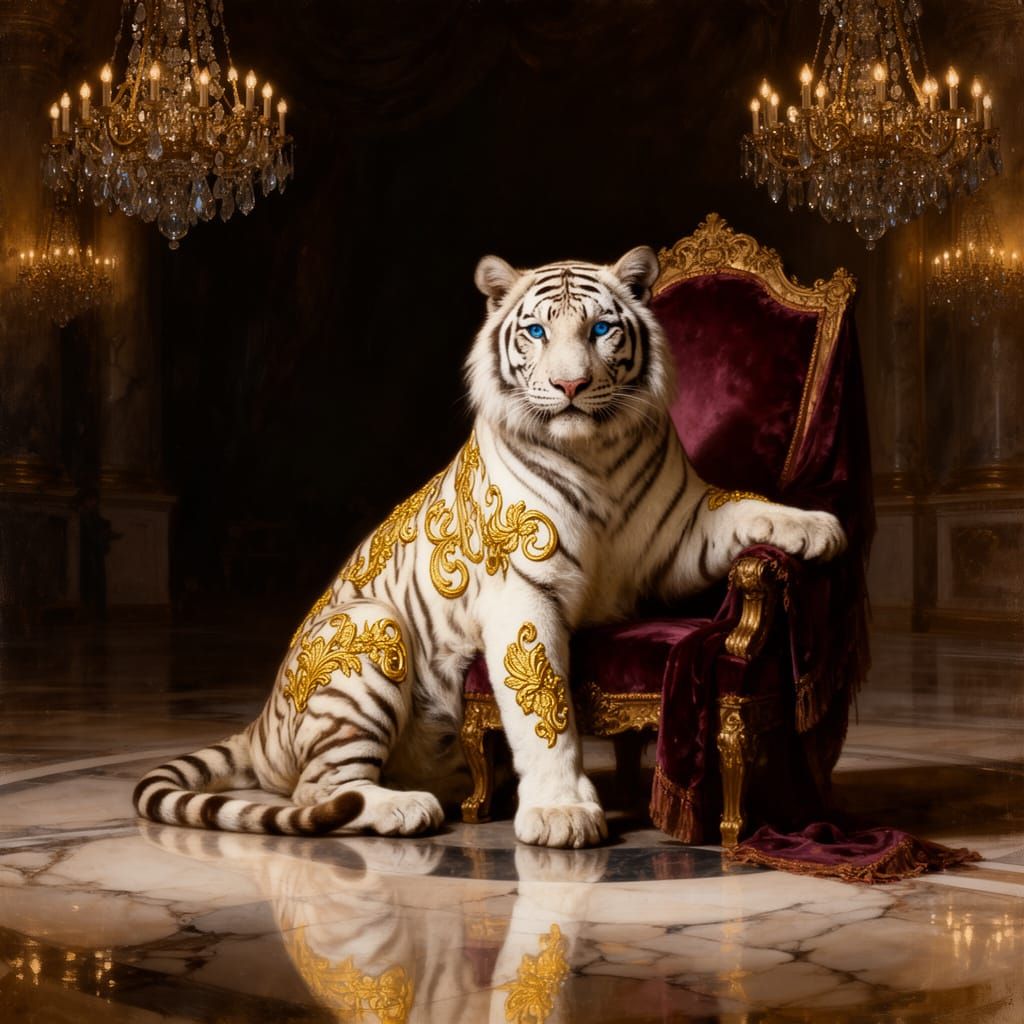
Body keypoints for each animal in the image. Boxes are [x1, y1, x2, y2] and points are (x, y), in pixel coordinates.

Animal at [134, 245, 846, 849]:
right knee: (320, 790)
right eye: (536, 332)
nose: (570, 387)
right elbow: (545, 708)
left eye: (600, 330)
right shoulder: (523, 590)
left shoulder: (681, 531)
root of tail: (258, 721)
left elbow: (746, 507)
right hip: (368, 628)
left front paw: (817, 526)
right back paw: (403, 808)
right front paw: (561, 812)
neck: (597, 455)